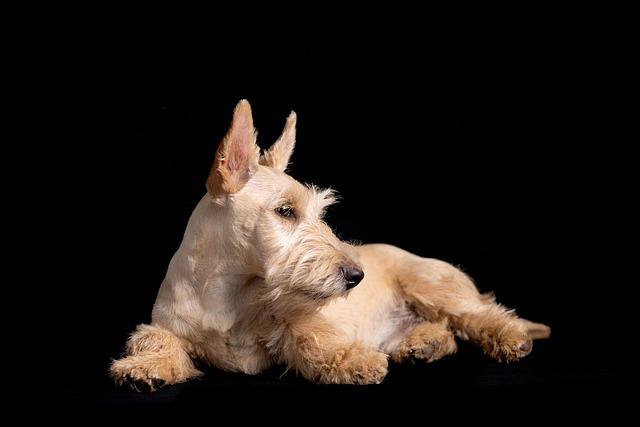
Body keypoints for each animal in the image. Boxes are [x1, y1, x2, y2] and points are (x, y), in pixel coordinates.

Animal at [110, 100, 552, 392]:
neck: (228, 291)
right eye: (285, 211)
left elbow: (313, 337)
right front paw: (145, 366)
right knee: (445, 330)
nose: (357, 275)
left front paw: (355, 360)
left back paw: (509, 337)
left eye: (318, 212)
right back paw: (424, 344)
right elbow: (159, 339)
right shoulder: (169, 325)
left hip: (432, 286)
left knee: (482, 314)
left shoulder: (299, 316)